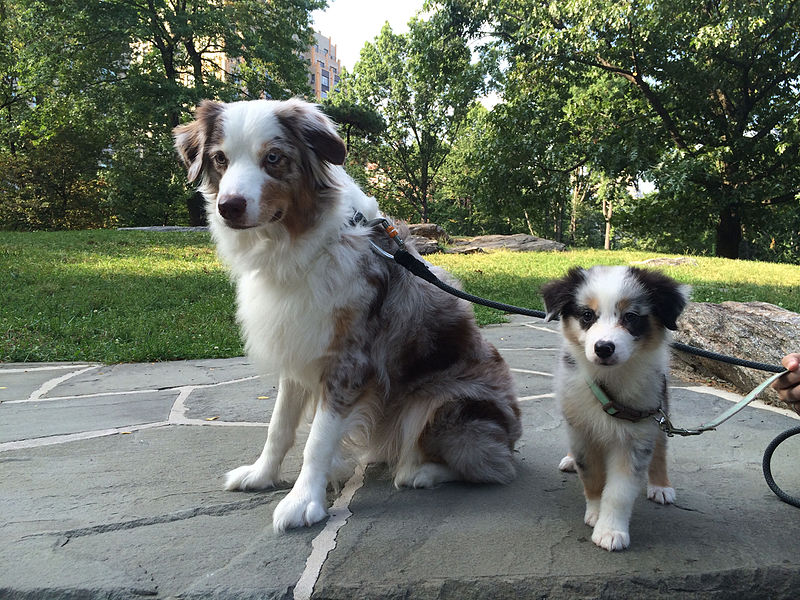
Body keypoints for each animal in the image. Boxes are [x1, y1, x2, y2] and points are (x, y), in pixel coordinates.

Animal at [174, 99, 520, 536]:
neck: (298, 245)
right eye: (220, 158)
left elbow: (318, 439)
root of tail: (513, 436)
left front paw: (302, 502)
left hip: (446, 402)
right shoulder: (298, 345)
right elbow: (279, 426)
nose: (229, 207)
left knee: (490, 465)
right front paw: (262, 475)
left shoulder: (349, 362)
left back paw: (421, 471)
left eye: (274, 158)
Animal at [544, 264, 688, 552]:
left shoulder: (638, 431)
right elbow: (593, 477)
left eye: (630, 316)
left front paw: (610, 531)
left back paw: (660, 485)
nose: (603, 348)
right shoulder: (582, 430)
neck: (609, 380)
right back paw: (570, 459)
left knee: (661, 448)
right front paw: (596, 513)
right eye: (587, 315)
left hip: (660, 408)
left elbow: (619, 491)